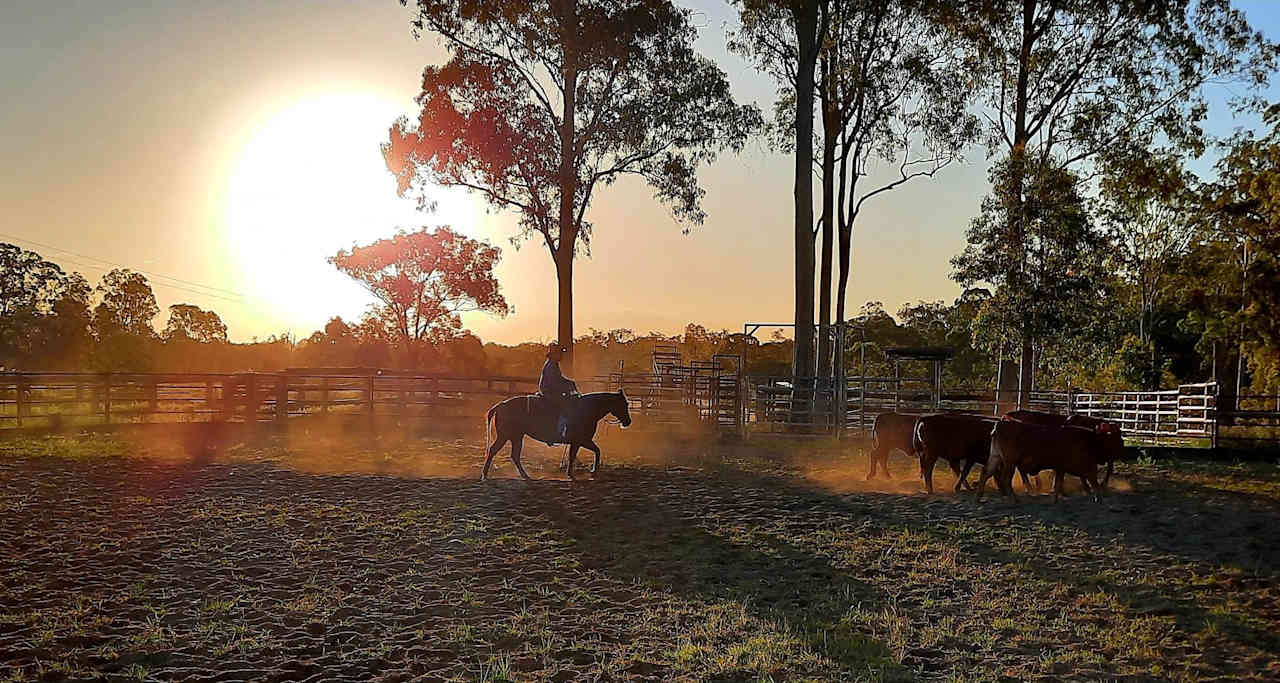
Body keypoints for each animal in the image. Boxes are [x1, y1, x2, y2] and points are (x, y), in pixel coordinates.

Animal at [481, 391, 632, 480]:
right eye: (624, 404)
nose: (628, 421)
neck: (587, 409)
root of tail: (501, 405)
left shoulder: (582, 441)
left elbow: (595, 451)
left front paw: (590, 471)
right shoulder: (580, 441)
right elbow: (577, 456)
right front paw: (579, 473)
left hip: (516, 437)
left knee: (514, 455)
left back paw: (525, 476)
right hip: (505, 436)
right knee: (493, 451)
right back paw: (485, 475)